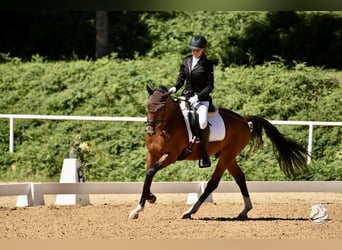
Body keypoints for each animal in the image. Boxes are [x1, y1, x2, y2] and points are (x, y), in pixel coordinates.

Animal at [129, 85, 310, 219]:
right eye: (147, 106)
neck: (167, 126)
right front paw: (140, 206)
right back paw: (245, 211)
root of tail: (243, 119)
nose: (150, 130)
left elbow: (150, 172)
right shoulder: (152, 154)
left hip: (227, 156)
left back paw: (189, 212)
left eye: (162, 107)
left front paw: (149, 199)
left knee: (213, 183)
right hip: (228, 156)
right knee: (240, 177)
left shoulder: (171, 156)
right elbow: (148, 175)